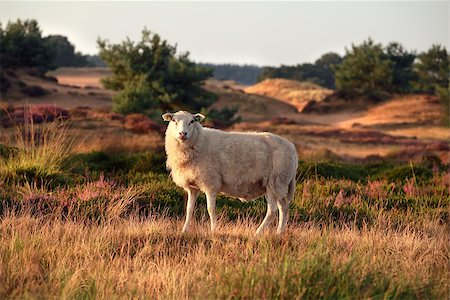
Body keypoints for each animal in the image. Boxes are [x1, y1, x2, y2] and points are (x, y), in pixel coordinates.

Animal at [163, 110, 298, 234]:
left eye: (192, 121)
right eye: (174, 120)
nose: (183, 133)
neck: (199, 141)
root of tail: (292, 148)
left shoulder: (210, 183)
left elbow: (210, 209)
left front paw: (213, 230)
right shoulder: (192, 187)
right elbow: (189, 209)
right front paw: (184, 231)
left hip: (275, 181)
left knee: (272, 210)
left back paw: (257, 233)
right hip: (280, 183)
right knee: (283, 207)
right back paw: (279, 233)